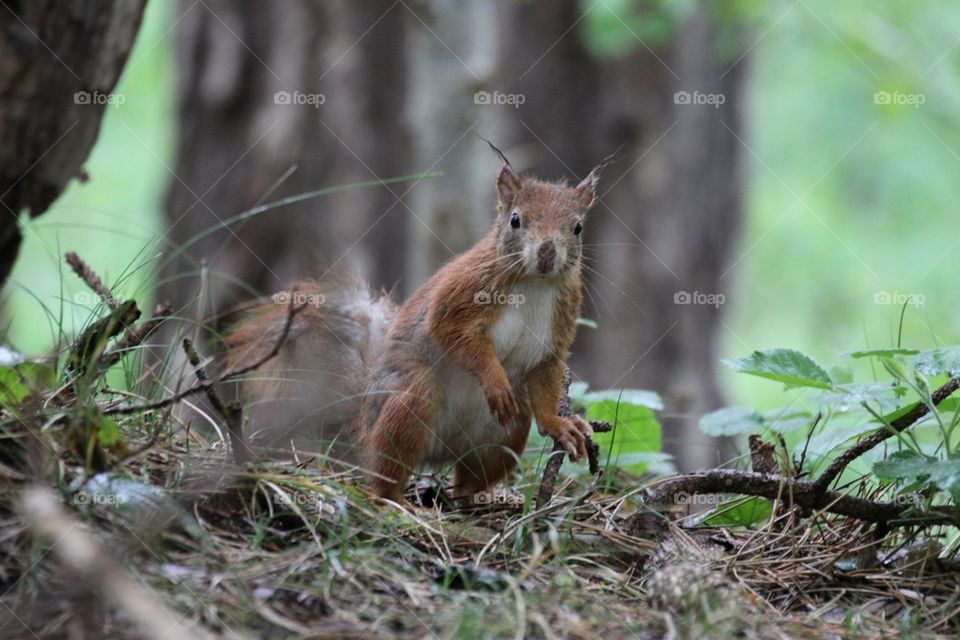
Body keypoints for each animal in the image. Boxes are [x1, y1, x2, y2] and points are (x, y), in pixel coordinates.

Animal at [224, 152, 601, 504]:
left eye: (578, 227)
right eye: (516, 220)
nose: (547, 252)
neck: (534, 283)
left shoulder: (558, 326)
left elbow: (546, 369)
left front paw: (560, 425)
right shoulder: (460, 292)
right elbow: (452, 333)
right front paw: (494, 380)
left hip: (504, 432)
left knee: (472, 474)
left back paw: (476, 498)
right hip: (412, 399)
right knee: (387, 469)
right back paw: (397, 500)